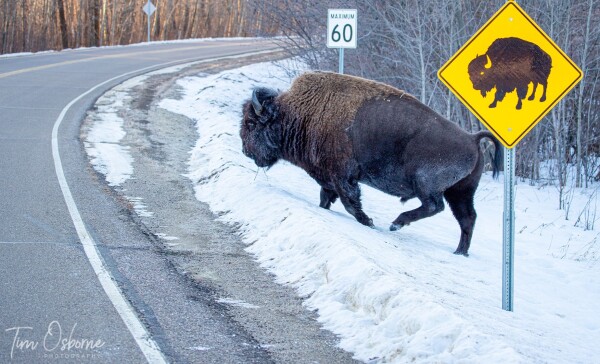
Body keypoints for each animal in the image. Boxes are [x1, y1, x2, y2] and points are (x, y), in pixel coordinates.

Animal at [239, 72, 502, 256]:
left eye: (251, 123)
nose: (245, 150)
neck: (300, 112)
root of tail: (472, 138)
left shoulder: (342, 176)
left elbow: (350, 201)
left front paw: (369, 222)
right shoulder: (329, 178)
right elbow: (327, 197)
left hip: (427, 184)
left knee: (435, 206)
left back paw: (396, 223)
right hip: (460, 192)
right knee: (467, 218)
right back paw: (460, 252)